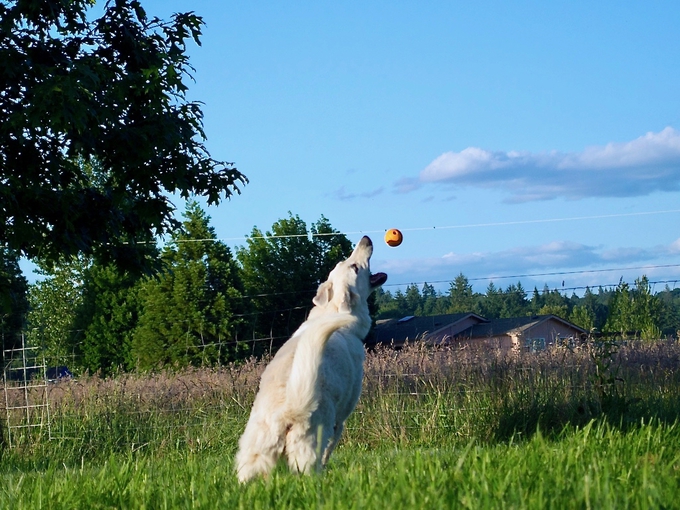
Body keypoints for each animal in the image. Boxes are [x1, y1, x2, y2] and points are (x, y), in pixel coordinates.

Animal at [234, 235, 386, 482]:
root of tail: (286, 411)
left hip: (253, 457)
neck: (334, 312)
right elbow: (332, 447)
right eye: (354, 267)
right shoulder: (341, 417)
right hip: (311, 447)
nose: (366, 239)